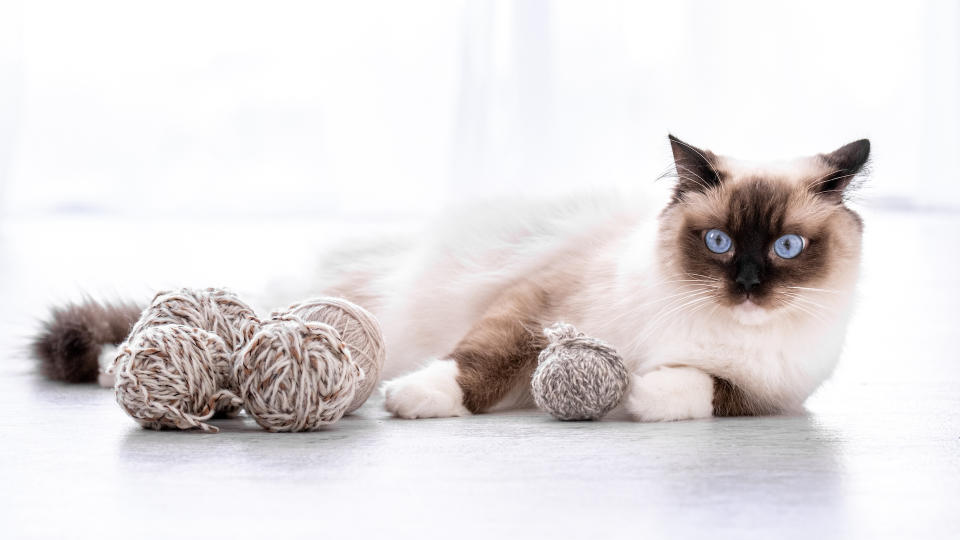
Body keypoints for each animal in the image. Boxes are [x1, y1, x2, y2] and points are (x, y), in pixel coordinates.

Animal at [33, 135, 872, 422]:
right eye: (720, 242)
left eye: (788, 247)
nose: (749, 286)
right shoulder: (535, 304)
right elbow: (481, 361)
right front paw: (420, 400)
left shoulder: (767, 393)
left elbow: (695, 385)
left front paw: (639, 392)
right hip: (302, 312)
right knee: (205, 336)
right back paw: (130, 369)